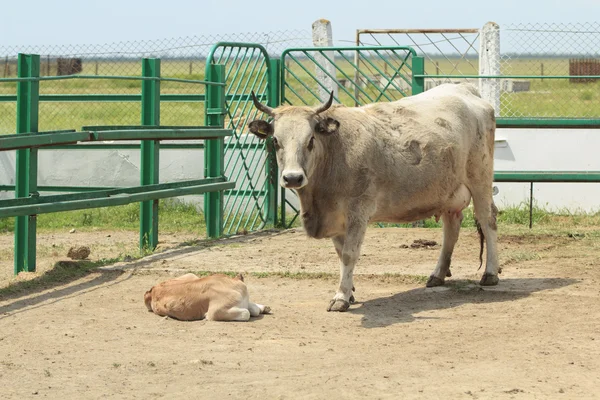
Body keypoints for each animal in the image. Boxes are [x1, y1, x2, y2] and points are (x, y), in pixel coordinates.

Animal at [248, 83, 502, 310]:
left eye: (310, 140)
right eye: (275, 141)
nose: (292, 177)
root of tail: (464, 89)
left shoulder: (358, 213)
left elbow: (349, 254)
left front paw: (341, 297)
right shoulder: (335, 216)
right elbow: (340, 254)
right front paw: (349, 291)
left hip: (480, 180)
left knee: (487, 219)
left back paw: (490, 273)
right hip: (448, 191)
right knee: (451, 228)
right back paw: (438, 274)